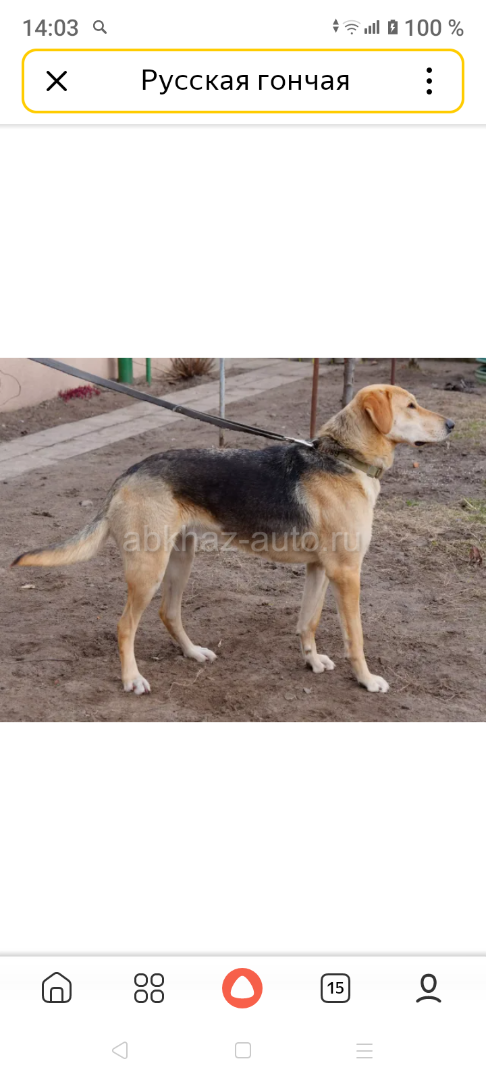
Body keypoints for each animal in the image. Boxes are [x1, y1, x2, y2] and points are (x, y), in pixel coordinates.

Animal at [12, 385, 454, 696]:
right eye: (411, 405)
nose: (451, 425)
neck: (343, 458)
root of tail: (129, 472)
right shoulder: (347, 574)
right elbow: (356, 637)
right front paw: (366, 680)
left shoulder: (319, 569)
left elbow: (307, 622)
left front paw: (311, 662)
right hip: (148, 570)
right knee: (124, 627)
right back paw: (132, 678)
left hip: (180, 560)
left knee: (168, 613)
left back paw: (193, 652)